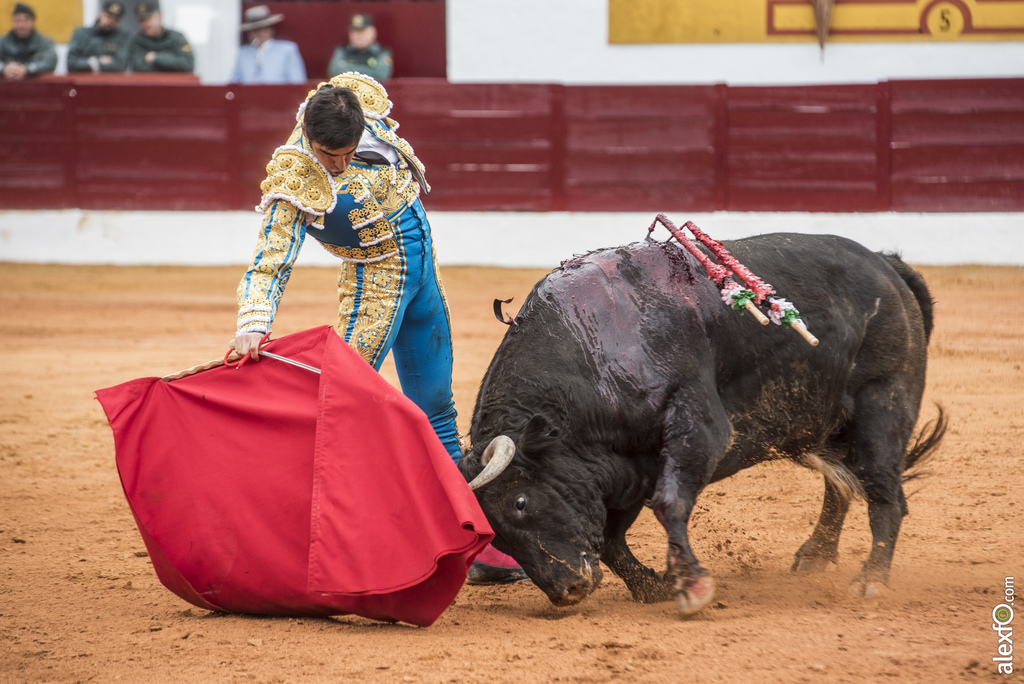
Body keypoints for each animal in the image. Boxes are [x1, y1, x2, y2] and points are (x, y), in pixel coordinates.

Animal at [460, 232, 946, 618]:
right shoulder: (624, 466)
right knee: (842, 482)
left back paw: (870, 580)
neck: (591, 350)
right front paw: (654, 586)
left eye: (521, 502)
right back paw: (815, 554)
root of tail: (885, 263)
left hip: (882, 404)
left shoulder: (697, 428)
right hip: (820, 423)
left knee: (884, 492)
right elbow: (614, 538)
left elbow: (669, 503)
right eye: (497, 538)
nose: (568, 590)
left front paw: (692, 586)